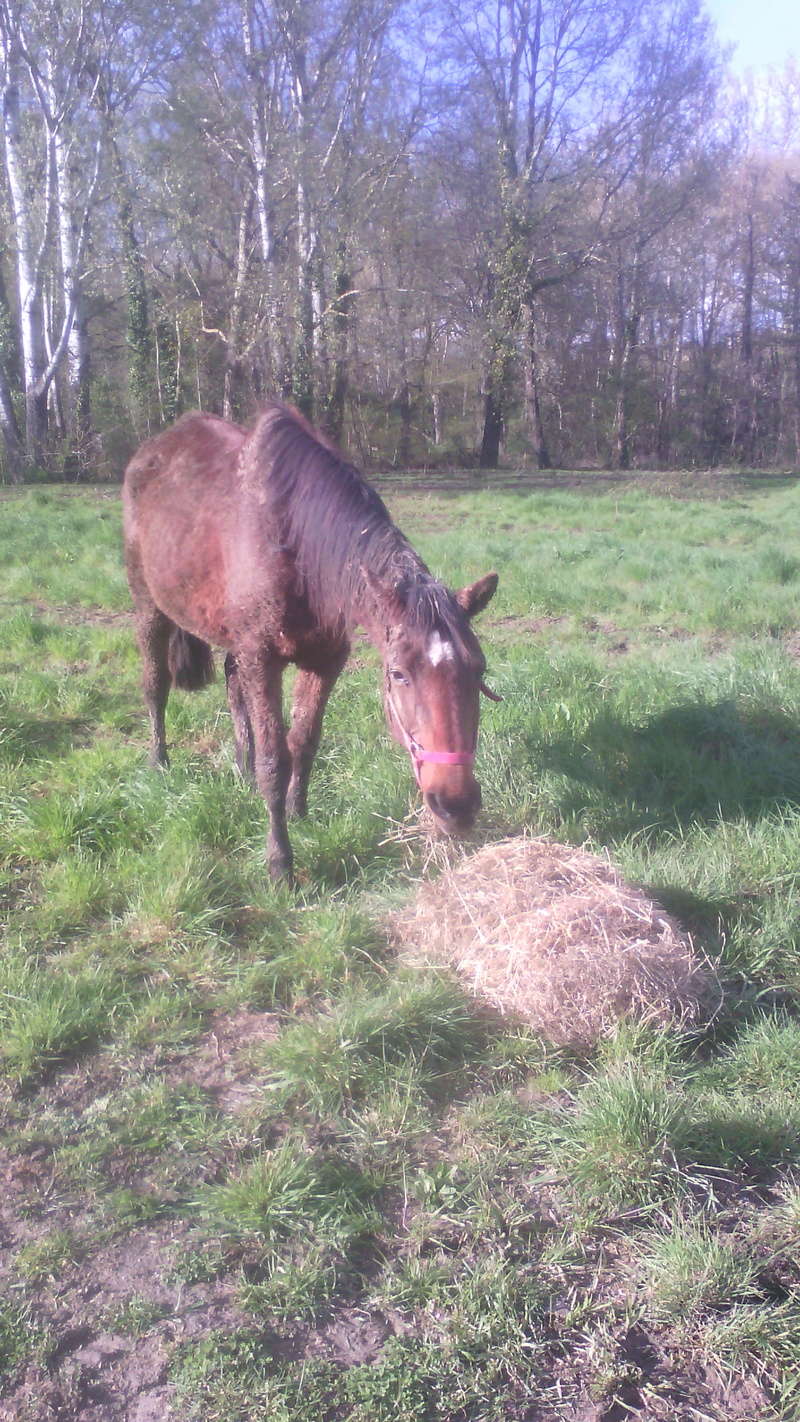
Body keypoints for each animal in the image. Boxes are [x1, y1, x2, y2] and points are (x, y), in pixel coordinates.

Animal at [123, 403, 500, 875]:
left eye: (478, 671)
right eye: (398, 674)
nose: (457, 805)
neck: (295, 548)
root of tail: (151, 452)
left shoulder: (324, 660)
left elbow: (303, 742)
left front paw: (297, 812)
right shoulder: (262, 658)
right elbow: (274, 759)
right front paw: (279, 860)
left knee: (232, 686)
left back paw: (240, 768)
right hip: (149, 607)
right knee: (155, 686)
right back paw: (159, 762)